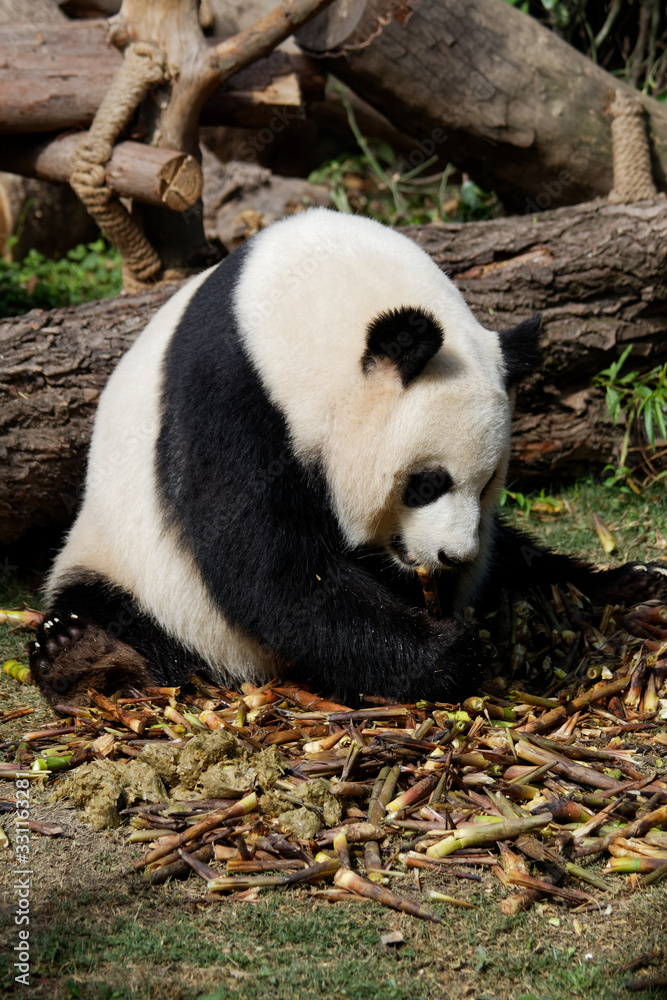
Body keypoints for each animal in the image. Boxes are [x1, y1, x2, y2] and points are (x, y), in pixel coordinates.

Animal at [30, 208, 667, 707]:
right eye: (426, 483)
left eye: (487, 485)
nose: (452, 556)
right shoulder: (230, 395)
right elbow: (266, 565)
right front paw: (446, 654)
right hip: (128, 560)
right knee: (111, 609)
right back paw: (77, 650)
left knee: (522, 557)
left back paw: (619, 584)